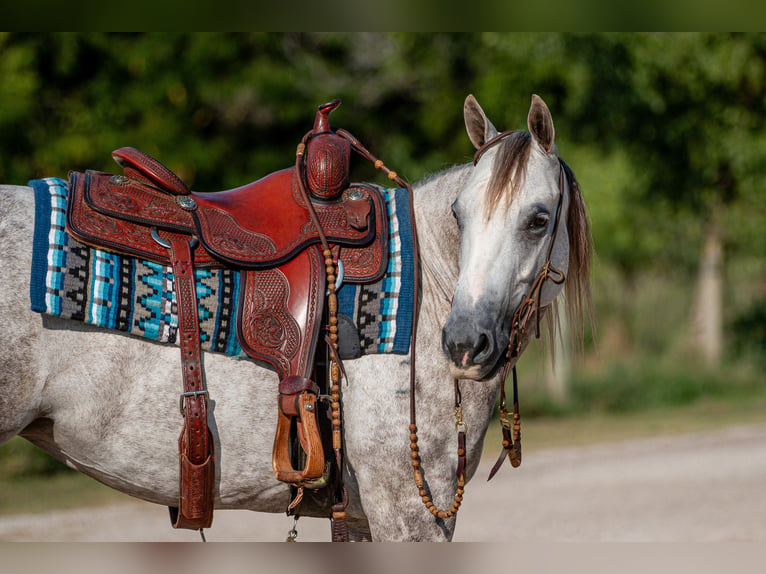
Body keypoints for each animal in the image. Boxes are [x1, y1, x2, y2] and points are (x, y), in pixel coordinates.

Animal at [0, 93, 592, 540]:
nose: (465, 343)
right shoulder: (408, 511)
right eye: (459, 213)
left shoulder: (365, 515)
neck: (429, 292)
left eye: (538, 220)